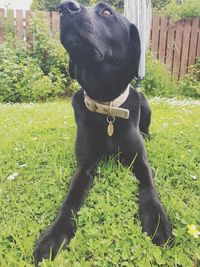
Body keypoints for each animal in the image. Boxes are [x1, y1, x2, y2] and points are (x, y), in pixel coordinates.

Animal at [33, 1, 171, 266]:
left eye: (106, 12)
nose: (65, 7)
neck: (106, 106)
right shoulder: (85, 165)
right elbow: (71, 199)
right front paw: (54, 236)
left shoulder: (139, 160)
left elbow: (149, 186)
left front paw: (157, 220)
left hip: (146, 105)